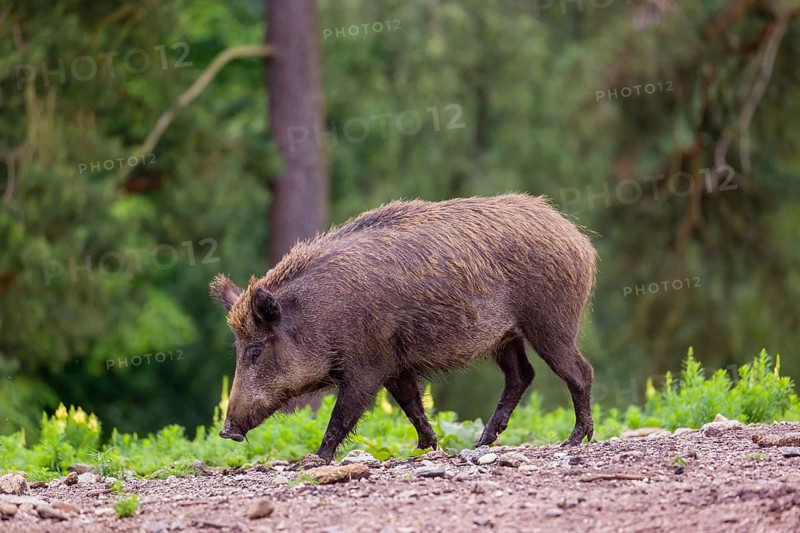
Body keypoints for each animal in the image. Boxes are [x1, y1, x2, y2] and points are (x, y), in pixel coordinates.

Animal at [211, 193, 596, 464]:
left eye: (255, 350)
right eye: (237, 349)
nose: (226, 431)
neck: (317, 316)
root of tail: (579, 240)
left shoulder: (368, 364)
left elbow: (344, 413)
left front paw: (313, 461)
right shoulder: (395, 364)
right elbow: (412, 403)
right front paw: (426, 448)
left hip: (550, 322)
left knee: (580, 371)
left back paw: (574, 440)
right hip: (506, 337)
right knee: (521, 375)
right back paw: (482, 442)